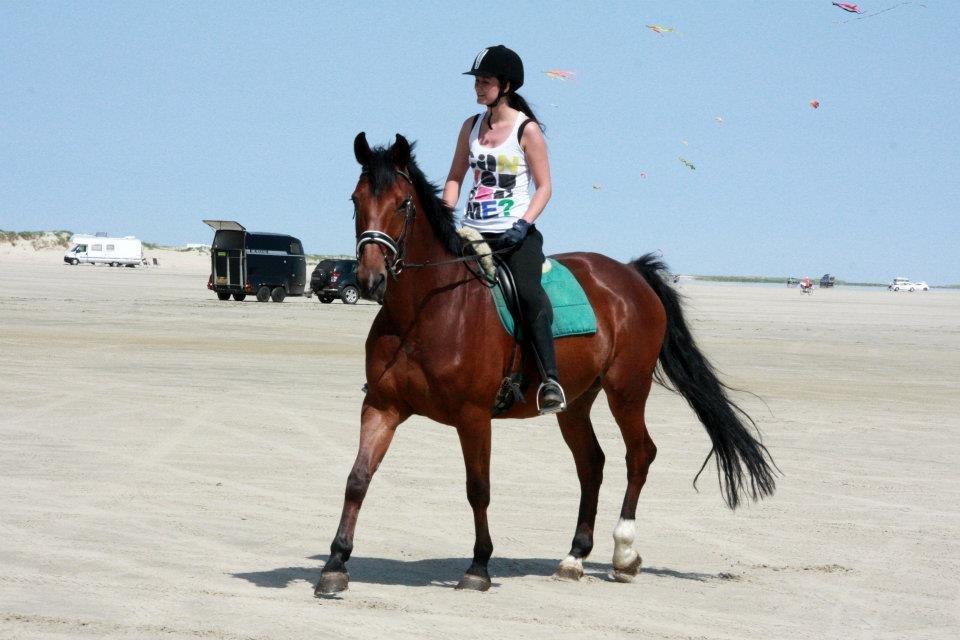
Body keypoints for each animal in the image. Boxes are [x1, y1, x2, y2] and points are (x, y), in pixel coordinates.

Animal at [318, 131, 776, 596]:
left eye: (402, 203)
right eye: (356, 200)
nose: (369, 279)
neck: (425, 311)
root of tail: (631, 274)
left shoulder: (473, 416)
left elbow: (478, 488)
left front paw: (479, 566)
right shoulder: (382, 406)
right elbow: (357, 479)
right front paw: (336, 563)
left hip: (627, 390)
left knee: (639, 455)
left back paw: (623, 554)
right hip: (576, 402)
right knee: (592, 463)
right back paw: (575, 556)